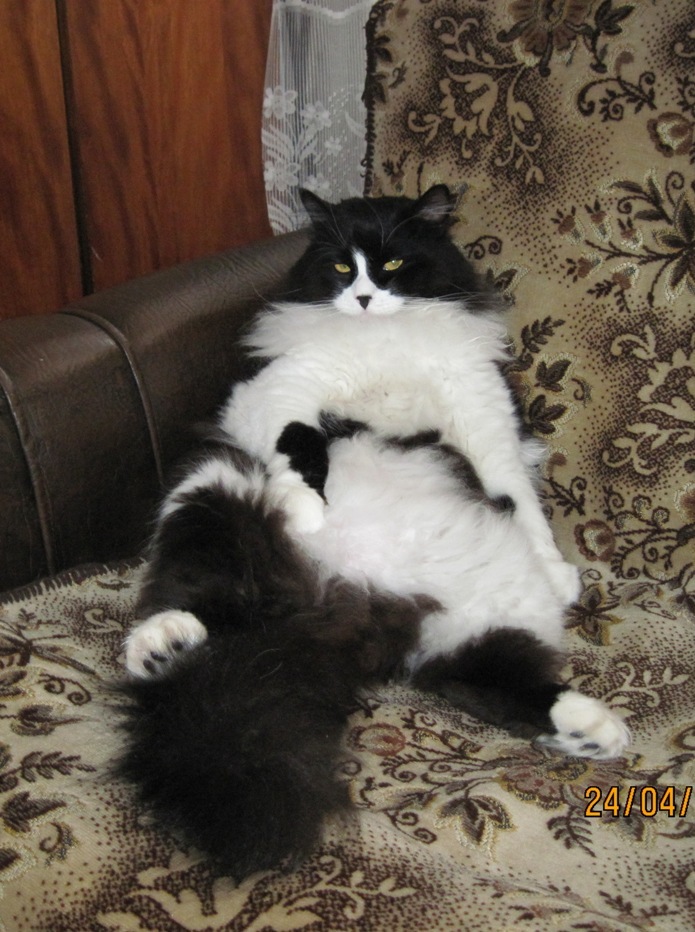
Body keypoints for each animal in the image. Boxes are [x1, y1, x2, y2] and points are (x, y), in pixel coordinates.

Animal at [119, 185, 630, 878]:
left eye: (390, 265)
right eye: (340, 266)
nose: (362, 297)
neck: (384, 341)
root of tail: (337, 602)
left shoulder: (485, 416)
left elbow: (519, 497)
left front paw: (558, 571)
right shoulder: (272, 396)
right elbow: (299, 438)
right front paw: (307, 506)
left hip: (480, 622)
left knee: (503, 685)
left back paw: (595, 730)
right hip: (213, 488)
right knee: (196, 606)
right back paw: (163, 645)